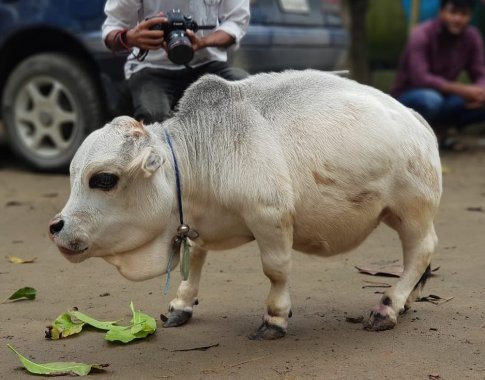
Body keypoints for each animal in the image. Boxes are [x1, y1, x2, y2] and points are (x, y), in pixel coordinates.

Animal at [50, 70, 442, 340]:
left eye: (103, 179)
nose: (57, 227)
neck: (197, 159)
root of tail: (416, 119)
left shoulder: (270, 217)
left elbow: (276, 270)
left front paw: (275, 318)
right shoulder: (197, 225)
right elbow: (196, 262)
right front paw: (182, 304)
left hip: (412, 209)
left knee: (420, 250)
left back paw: (389, 306)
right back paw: (406, 301)